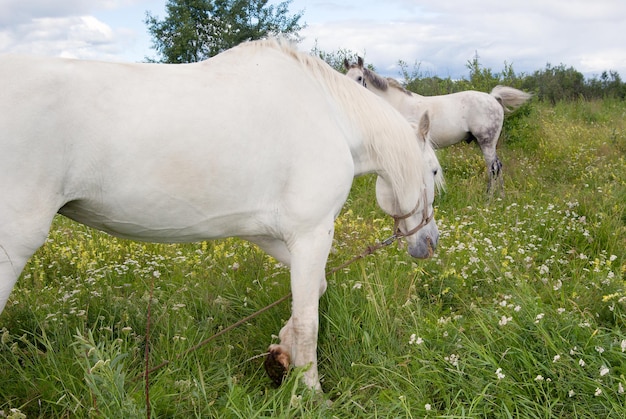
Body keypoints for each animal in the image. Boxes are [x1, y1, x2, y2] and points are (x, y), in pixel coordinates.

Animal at [0, 37, 442, 392]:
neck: (330, 114)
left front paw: (281, 355)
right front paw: (310, 392)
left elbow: (313, 292)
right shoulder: (312, 233)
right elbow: (309, 320)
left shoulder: (271, 233)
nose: (430, 242)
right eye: (435, 172)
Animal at [344, 57, 528, 192]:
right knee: (498, 167)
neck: (395, 103)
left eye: (359, 78)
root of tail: (493, 98)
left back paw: (489, 198)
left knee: (493, 168)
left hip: (487, 142)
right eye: (345, 77)